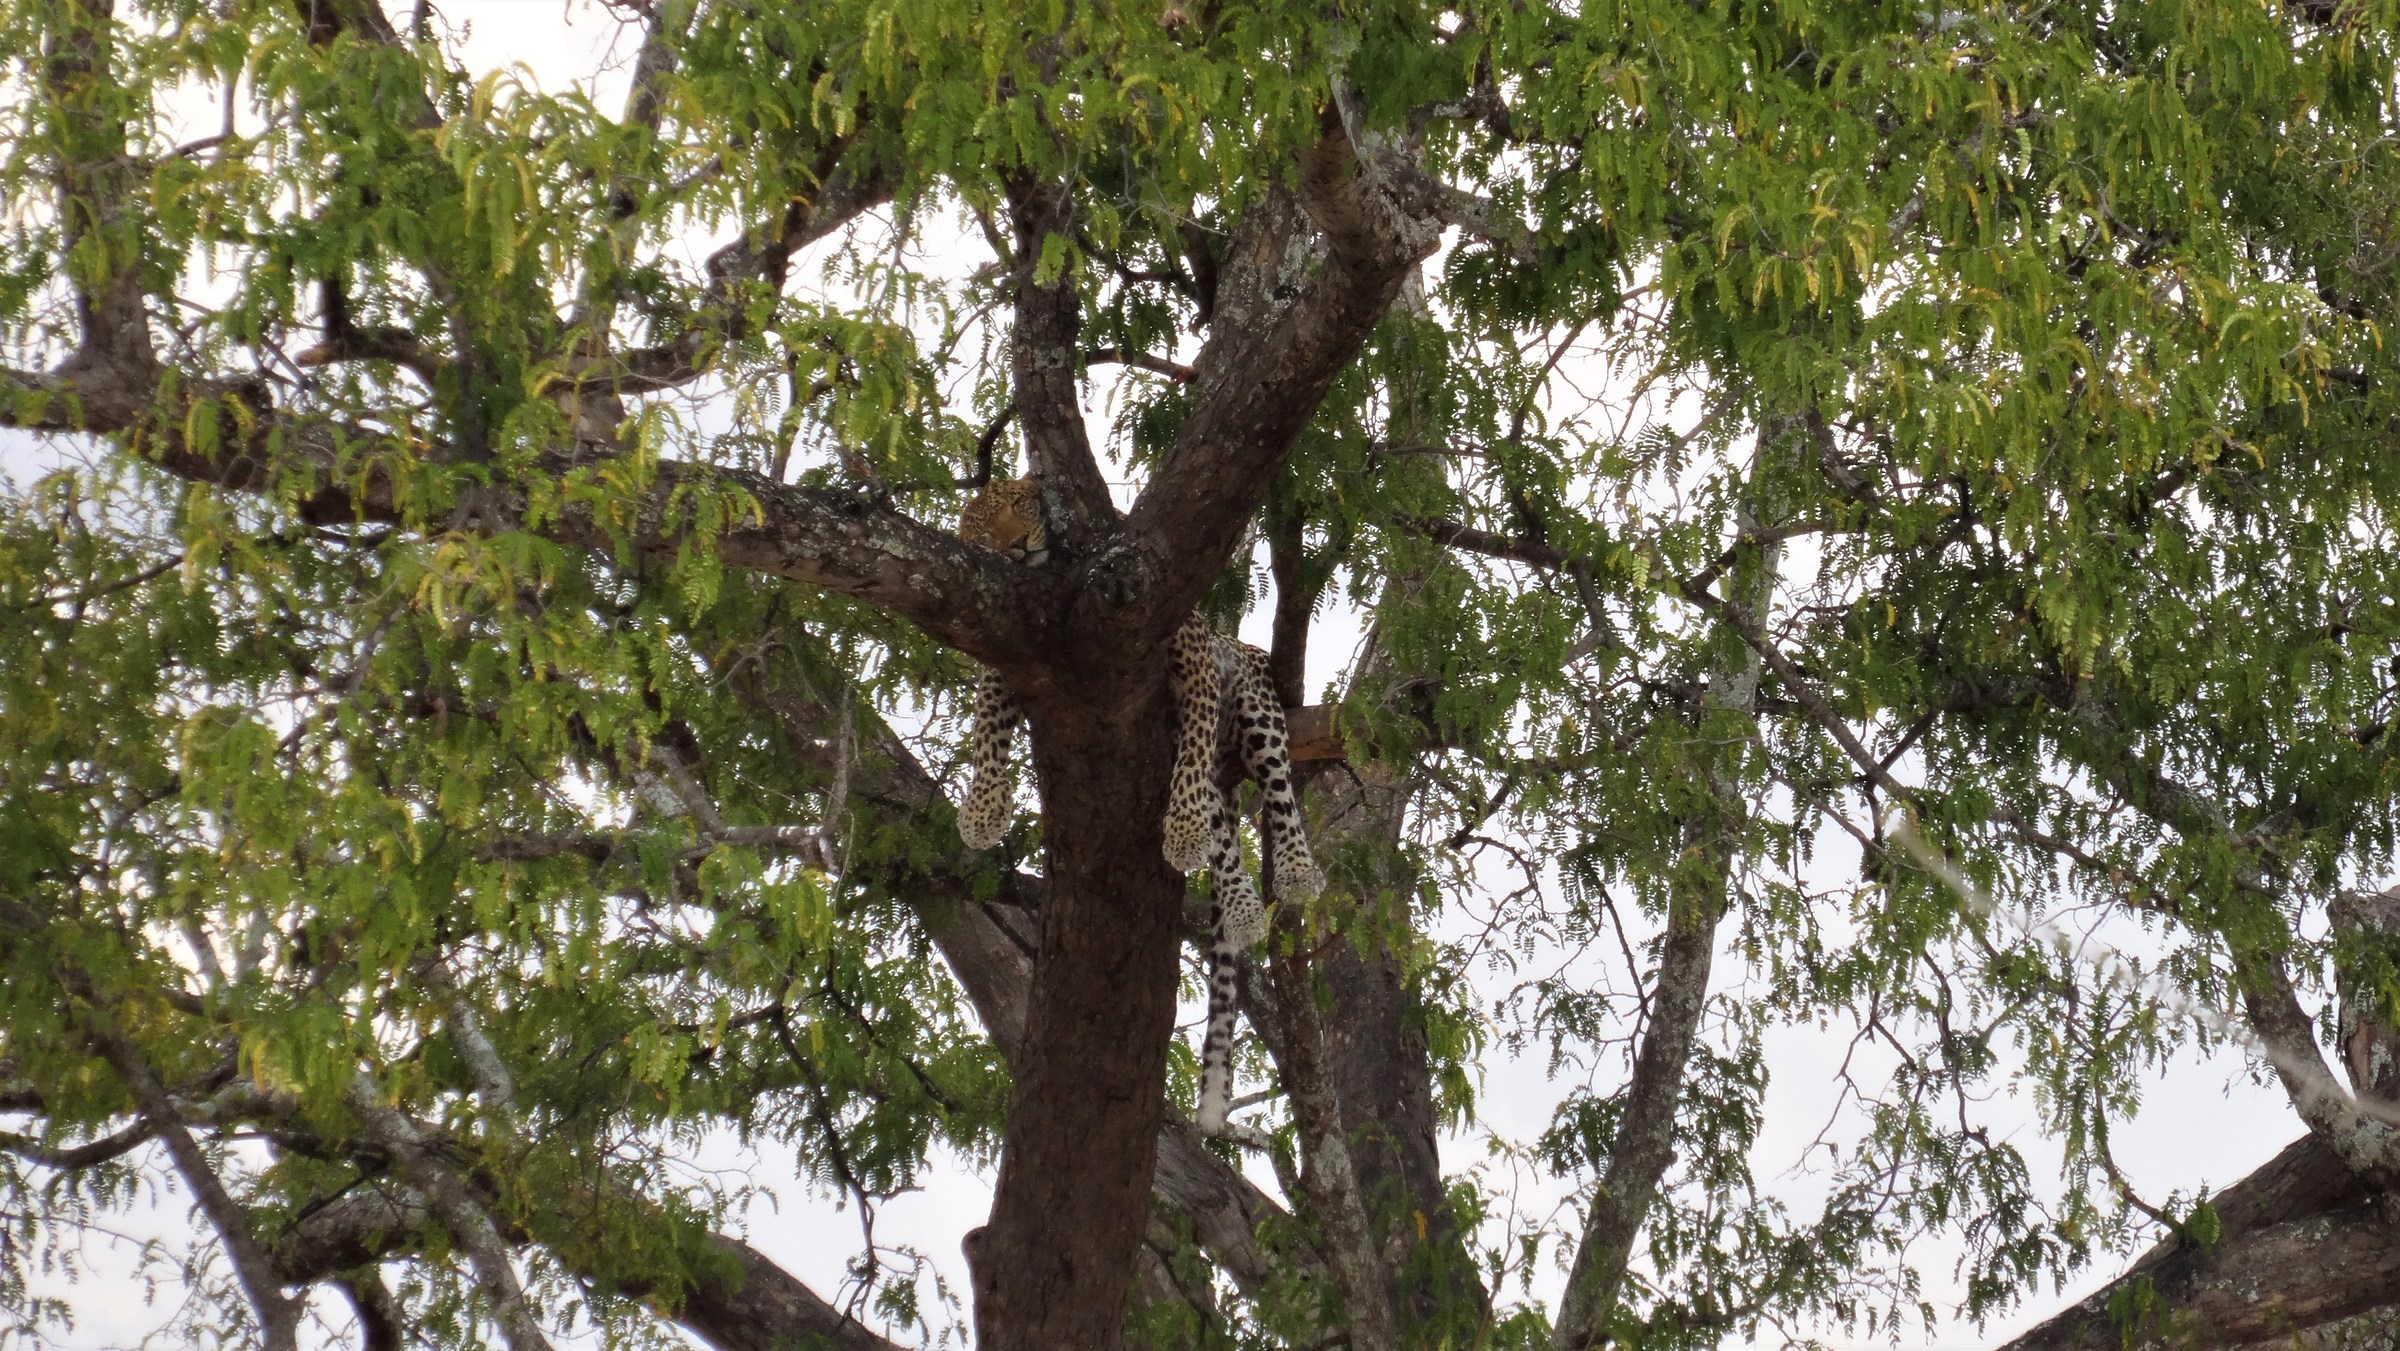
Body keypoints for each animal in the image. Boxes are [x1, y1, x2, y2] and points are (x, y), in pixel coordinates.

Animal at [952, 477, 1323, 1135]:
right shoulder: (1020, 653)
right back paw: (1241, 905)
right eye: (982, 531)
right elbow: (987, 717)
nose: (1017, 547)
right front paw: (982, 810)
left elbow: (1196, 740)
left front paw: (1182, 831)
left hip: (1255, 702)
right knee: (1223, 839)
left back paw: (1292, 872)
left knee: (1273, 788)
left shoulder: (1191, 650)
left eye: (1019, 508)